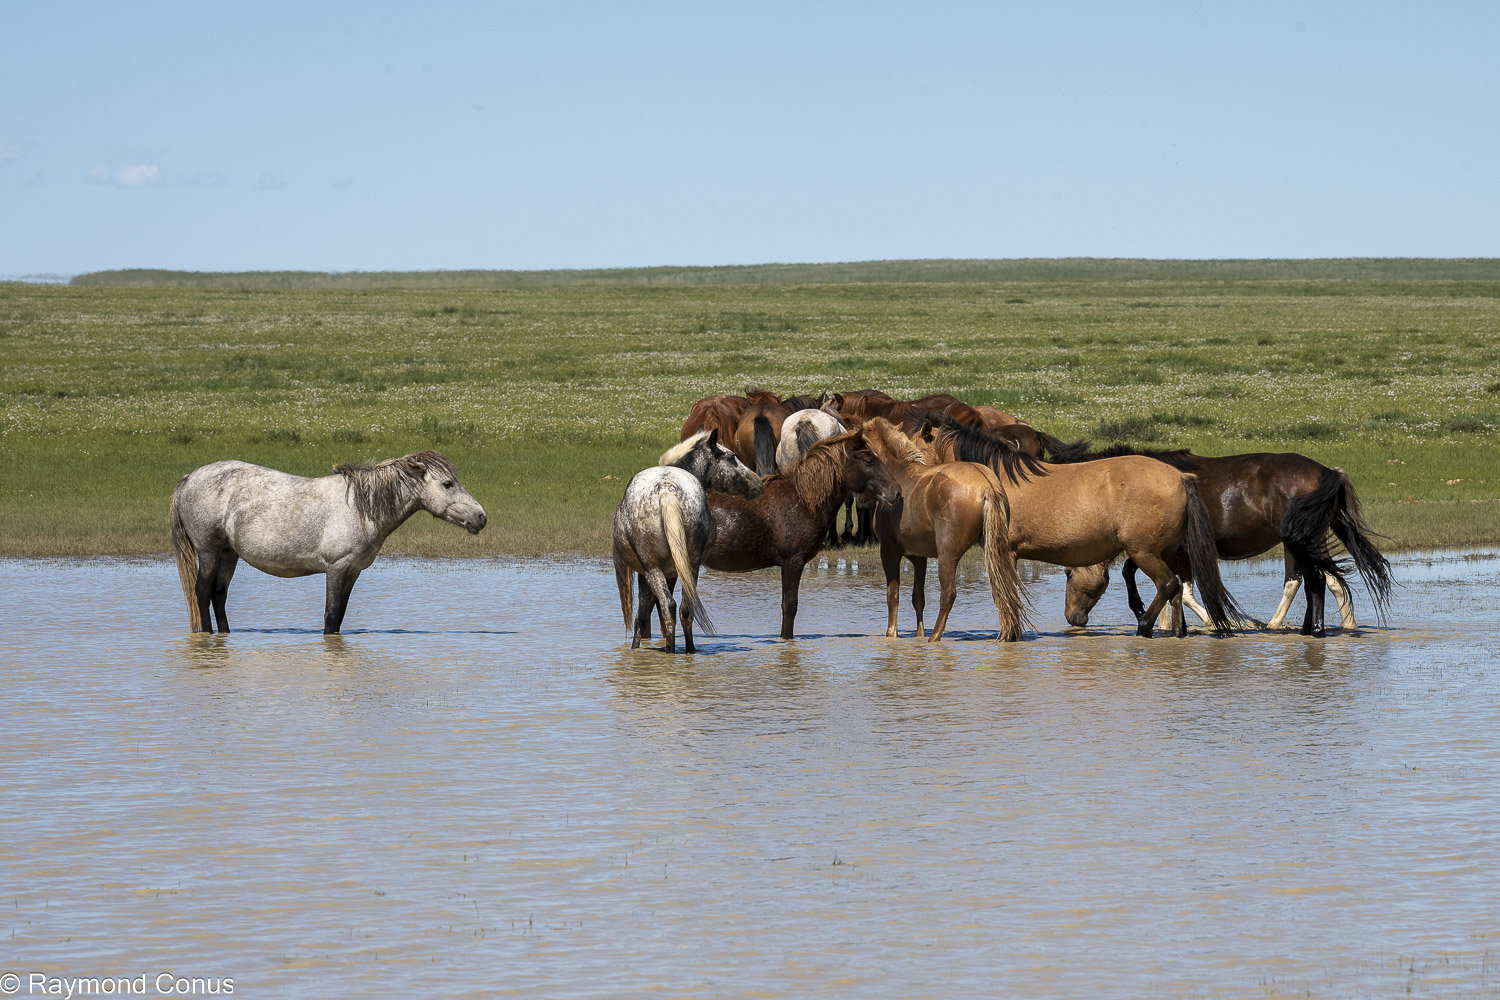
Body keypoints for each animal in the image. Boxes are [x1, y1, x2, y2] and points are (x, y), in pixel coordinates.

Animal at [170, 450, 486, 634]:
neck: (361, 508)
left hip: (228, 553)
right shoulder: (336, 568)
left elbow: (339, 617)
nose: (481, 517)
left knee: (219, 594)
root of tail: (188, 478)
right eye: (447, 484)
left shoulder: (353, 570)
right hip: (208, 550)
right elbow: (331, 615)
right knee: (202, 592)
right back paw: (207, 636)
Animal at [613, 431, 763, 653]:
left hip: (654, 568)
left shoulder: (653, 572)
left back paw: (671, 650)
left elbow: (643, 615)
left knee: (668, 606)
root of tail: (667, 491)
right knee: (684, 608)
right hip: (689, 564)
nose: (758, 484)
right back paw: (688, 650)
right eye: (732, 457)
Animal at [860, 418, 1028, 642]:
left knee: (948, 594)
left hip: (947, 555)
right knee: (1005, 589)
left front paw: (891, 634)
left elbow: (892, 595)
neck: (897, 469)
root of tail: (987, 486)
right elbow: (918, 598)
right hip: (996, 551)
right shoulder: (919, 557)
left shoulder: (889, 551)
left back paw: (934, 638)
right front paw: (919, 635)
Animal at [928, 424, 1246, 637]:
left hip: (1144, 552)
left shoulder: (1005, 553)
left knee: (1167, 584)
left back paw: (1144, 625)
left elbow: (1007, 598)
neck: (997, 480)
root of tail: (1180, 477)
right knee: (1177, 589)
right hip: (1164, 551)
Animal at [1058, 447, 1393, 636]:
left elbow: (1172, 587)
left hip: (1302, 542)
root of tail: (1327, 472)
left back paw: (1314, 631)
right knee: (1318, 581)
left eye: (1068, 572)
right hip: (1303, 542)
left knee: (1316, 582)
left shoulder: (1170, 550)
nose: (1072, 618)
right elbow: (1166, 585)